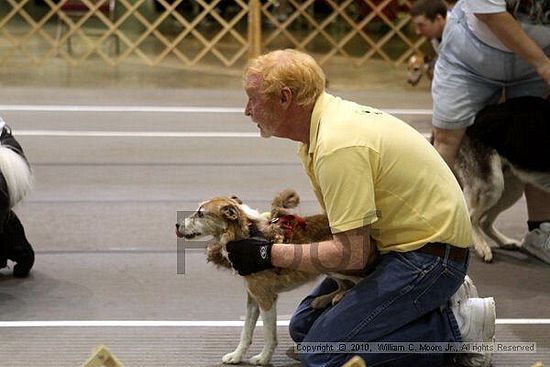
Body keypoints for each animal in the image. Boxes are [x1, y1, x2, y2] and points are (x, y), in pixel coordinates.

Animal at [177, 191, 380, 366]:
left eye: (200, 213)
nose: (177, 225)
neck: (248, 236)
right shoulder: (253, 297)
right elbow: (246, 331)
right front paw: (236, 356)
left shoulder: (266, 299)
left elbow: (269, 335)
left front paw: (263, 359)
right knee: (344, 284)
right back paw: (324, 299)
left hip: (334, 264)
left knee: (360, 279)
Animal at [458, 98, 550, 264]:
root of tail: (480, 115)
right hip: (494, 185)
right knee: (471, 217)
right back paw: (482, 247)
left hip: (510, 191)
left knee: (484, 222)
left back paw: (505, 242)